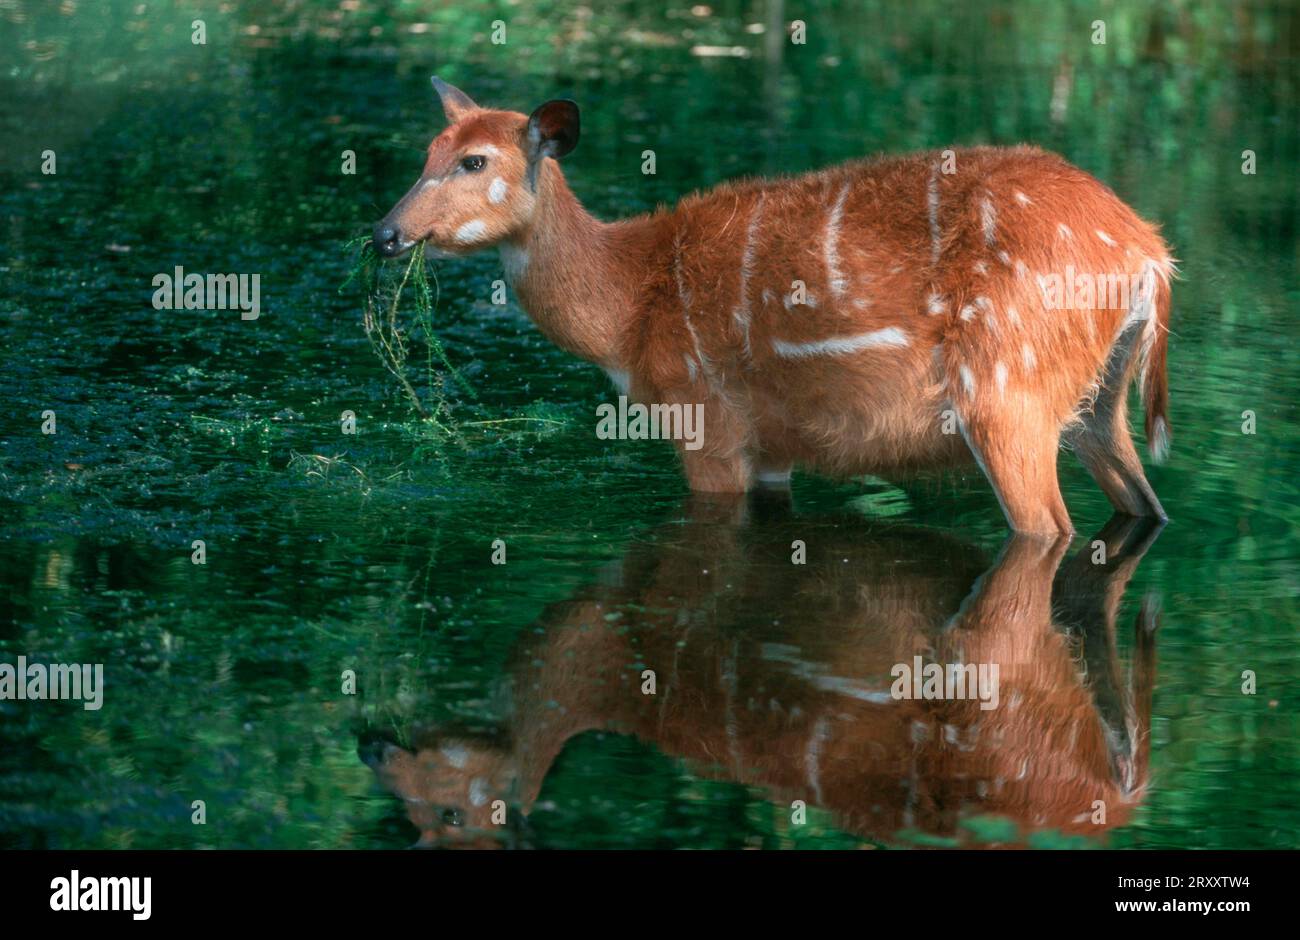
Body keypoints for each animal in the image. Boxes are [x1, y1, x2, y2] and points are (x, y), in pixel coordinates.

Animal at [371, 78, 1175, 535]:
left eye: (475, 161)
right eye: (425, 153)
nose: (386, 234)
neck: (627, 312)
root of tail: (1149, 254)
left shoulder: (705, 420)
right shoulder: (771, 448)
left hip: (1007, 391)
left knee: (1049, 527)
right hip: (1095, 403)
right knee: (1143, 503)